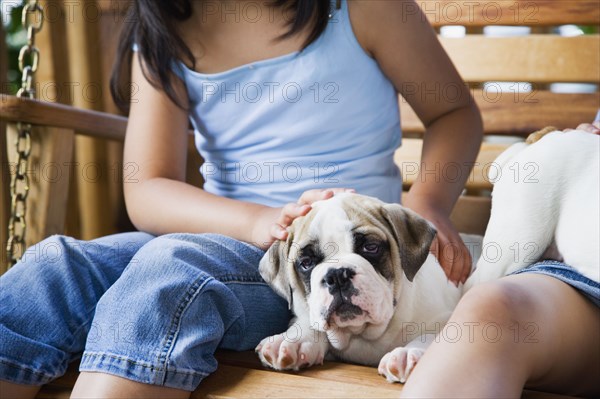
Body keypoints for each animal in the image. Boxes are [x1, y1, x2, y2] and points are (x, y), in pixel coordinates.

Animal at [255, 194, 480, 384]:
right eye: (306, 263)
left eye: (370, 247)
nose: (337, 276)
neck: (362, 333)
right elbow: (309, 323)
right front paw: (292, 341)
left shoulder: (447, 317)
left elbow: (434, 334)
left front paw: (408, 353)